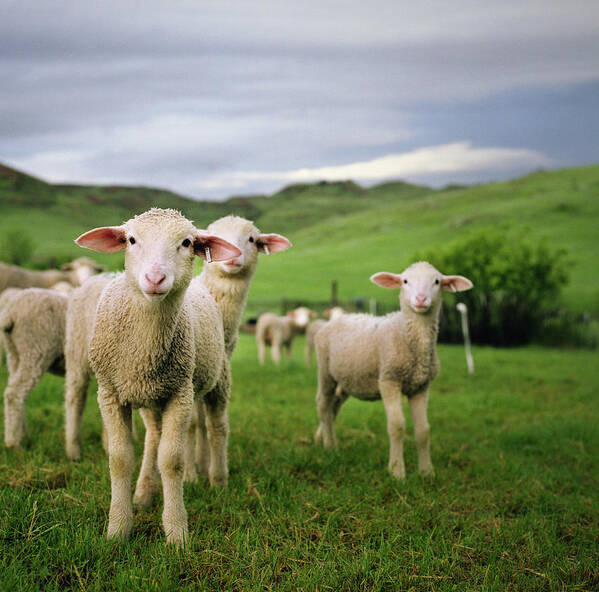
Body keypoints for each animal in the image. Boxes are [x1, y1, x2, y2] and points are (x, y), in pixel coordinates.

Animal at [75, 208, 241, 544]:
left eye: (187, 242)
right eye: (131, 239)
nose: (155, 279)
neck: (143, 351)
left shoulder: (180, 392)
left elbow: (172, 461)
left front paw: (177, 532)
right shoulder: (110, 392)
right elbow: (120, 459)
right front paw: (118, 529)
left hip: (217, 379)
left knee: (217, 427)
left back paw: (218, 480)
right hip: (151, 396)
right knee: (153, 436)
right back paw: (144, 492)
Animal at [314, 264, 474, 480]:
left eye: (437, 281)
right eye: (405, 281)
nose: (421, 299)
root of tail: (336, 318)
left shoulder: (421, 386)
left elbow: (423, 430)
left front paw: (427, 472)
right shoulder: (389, 380)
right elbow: (397, 426)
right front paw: (397, 472)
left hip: (348, 378)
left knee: (334, 405)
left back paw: (323, 438)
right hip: (325, 370)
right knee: (323, 404)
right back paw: (330, 446)